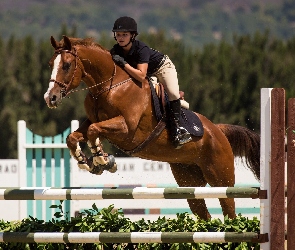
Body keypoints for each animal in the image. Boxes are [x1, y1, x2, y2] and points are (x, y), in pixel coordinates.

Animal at [44, 34, 262, 219]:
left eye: (66, 65)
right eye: (50, 64)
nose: (50, 98)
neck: (108, 86)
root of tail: (218, 131)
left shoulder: (127, 128)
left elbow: (93, 131)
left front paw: (103, 160)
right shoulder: (94, 122)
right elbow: (74, 136)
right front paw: (87, 161)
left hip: (221, 179)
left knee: (229, 211)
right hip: (189, 181)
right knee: (204, 214)